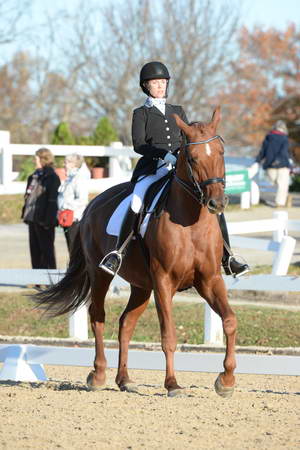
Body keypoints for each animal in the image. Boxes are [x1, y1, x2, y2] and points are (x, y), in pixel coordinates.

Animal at [35, 108, 237, 398]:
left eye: (221, 152)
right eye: (193, 158)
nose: (217, 203)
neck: (190, 222)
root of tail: (92, 205)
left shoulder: (209, 280)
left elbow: (230, 321)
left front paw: (226, 381)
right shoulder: (164, 282)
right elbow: (168, 335)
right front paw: (172, 384)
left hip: (141, 285)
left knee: (125, 323)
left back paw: (124, 379)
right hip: (101, 274)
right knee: (98, 316)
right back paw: (98, 375)